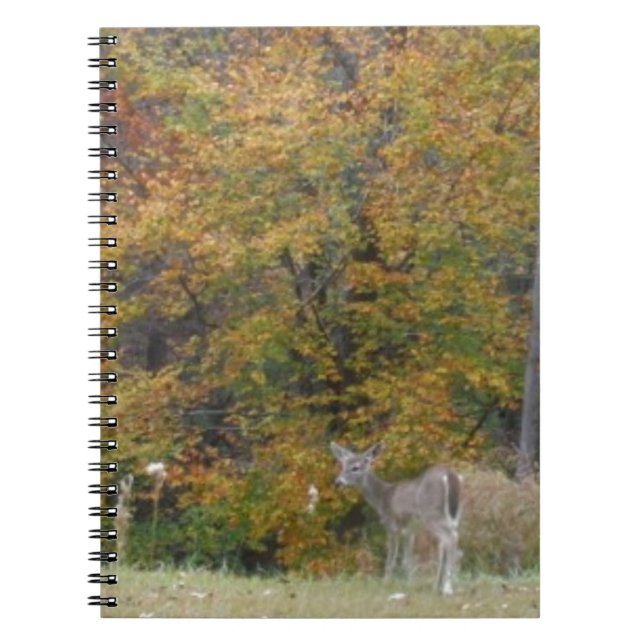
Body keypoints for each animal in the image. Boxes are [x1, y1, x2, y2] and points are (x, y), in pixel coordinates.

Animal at [330, 442, 462, 595]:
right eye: (342, 465)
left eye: (355, 468)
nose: (338, 482)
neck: (381, 498)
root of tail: (449, 475)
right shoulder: (409, 530)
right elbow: (407, 560)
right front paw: (410, 583)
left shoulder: (392, 524)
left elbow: (391, 559)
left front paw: (386, 582)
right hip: (453, 515)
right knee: (446, 542)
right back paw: (437, 586)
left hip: (432, 513)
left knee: (451, 538)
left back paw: (447, 587)